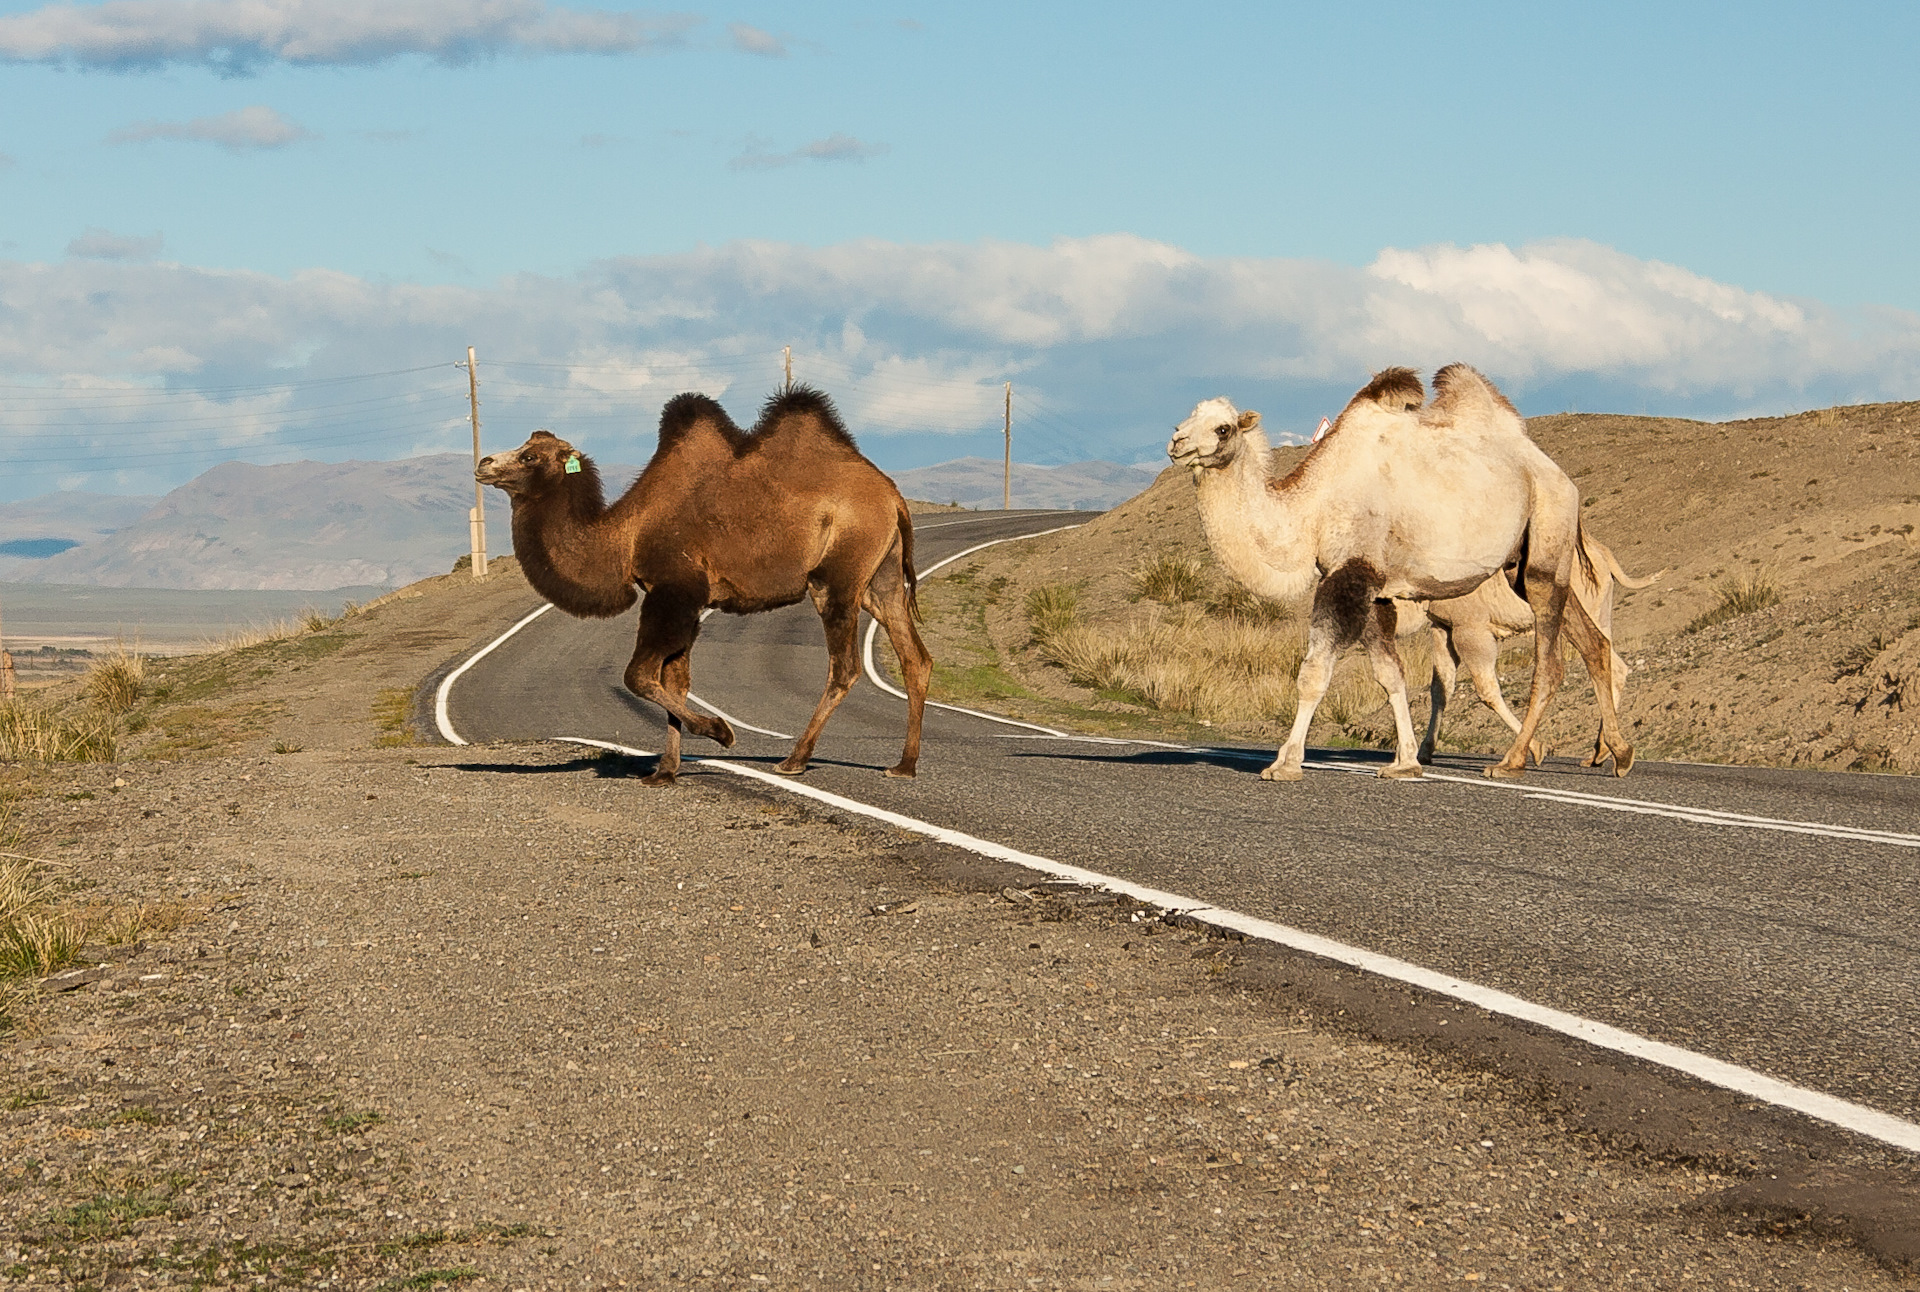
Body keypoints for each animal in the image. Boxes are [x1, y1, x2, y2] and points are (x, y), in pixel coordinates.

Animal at [476, 383, 933, 779]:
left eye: (530, 456)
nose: (483, 464)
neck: (626, 535)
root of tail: (893, 496)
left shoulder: (674, 591)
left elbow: (639, 676)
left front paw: (721, 732)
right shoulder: (682, 600)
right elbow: (676, 682)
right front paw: (665, 771)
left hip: (838, 574)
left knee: (845, 666)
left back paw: (794, 759)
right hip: (880, 578)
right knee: (915, 656)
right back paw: (904, 765)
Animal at [1159, 368, 1628, 779]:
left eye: (1223, 429)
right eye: (1187, 417)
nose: (1176, 441)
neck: (1310, 511)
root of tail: (1559, 475)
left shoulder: (1349, 575)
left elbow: (1314, 673)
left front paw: (1285, 763)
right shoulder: (1376, 589)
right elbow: (1391, 676)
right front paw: (1405, 762)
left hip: (1548, 536)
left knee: (1551, 663)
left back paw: (1513, 760)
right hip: (1525, 565)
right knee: (1594, 644)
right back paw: (1619, 755)